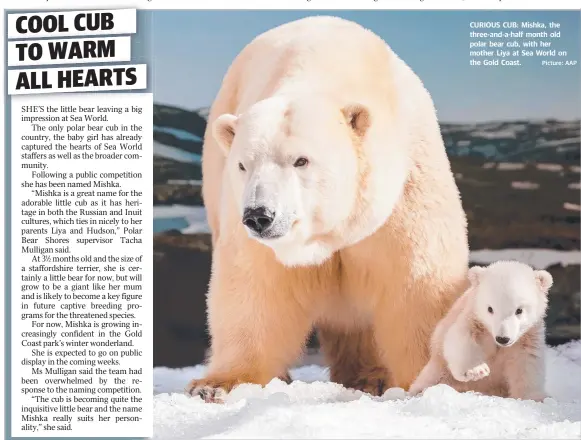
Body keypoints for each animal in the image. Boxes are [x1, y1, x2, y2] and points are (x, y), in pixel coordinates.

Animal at [188, 15, 468, 400]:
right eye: (244, 165)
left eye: (301, 160)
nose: (260, 217)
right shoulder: (245, 221)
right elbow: (253, 287)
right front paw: (216, 385)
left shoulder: (405, 189)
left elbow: (419, 284)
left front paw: (436, 378)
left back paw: (371, 376)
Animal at [408, 262, 552, 402]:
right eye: (490, 309)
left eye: (519, 310)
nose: (502, 338)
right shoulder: (474, 320)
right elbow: (460, 338)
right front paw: (477, 370)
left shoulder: (527, 336)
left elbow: (527, 362)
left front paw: (534, 399)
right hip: (439, 369)